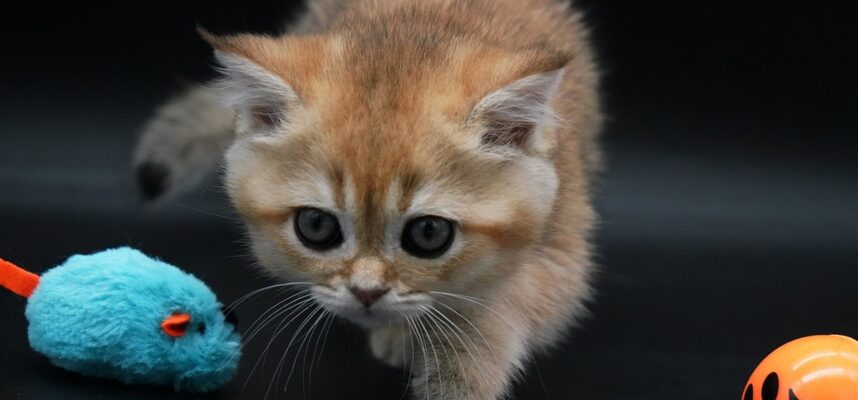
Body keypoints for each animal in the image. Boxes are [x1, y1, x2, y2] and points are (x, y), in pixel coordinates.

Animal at [135, 1, 600, 398]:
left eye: (429, 233)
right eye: (316, 226)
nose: (366, 292)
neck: (414, 32)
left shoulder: (560, 249)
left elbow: (500, 310)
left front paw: (459, 370)